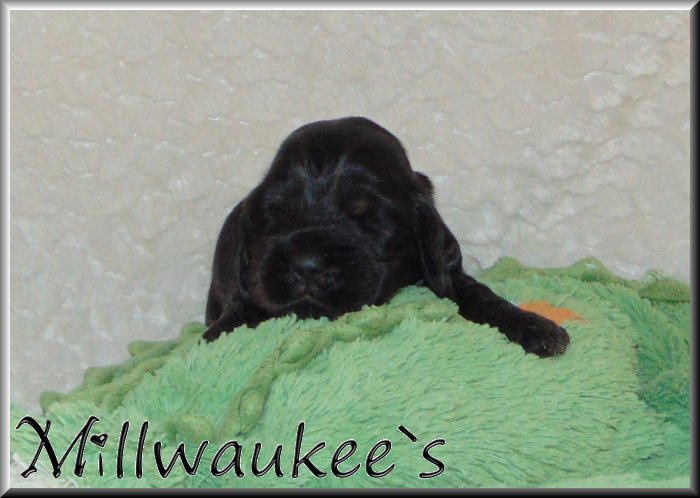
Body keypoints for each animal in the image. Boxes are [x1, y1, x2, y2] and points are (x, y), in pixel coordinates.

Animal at [202, 117, 570, 357]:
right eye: (276, 212)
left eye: (371, 219)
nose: (306, 266)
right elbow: (236, 316)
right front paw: (219, 336)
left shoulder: (442, 268)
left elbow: (475, 293)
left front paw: (533, 325)